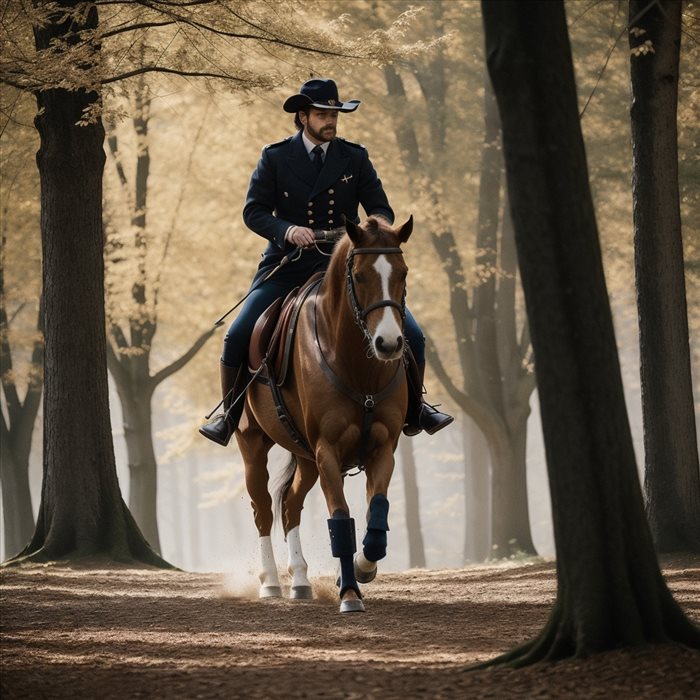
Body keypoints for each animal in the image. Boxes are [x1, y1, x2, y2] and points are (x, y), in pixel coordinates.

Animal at [237, 215, 410, 612]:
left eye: (403, 272)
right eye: (359, 275)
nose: (389, 344)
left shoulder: (383, 448)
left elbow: (377, 515)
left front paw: (362, 569)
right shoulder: (327, 450)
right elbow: (341, 520)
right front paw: (349, 594)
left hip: (305, 460)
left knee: (290, 506)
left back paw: (300, 580)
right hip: (254, 445)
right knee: (263, 509)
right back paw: (271, 582)